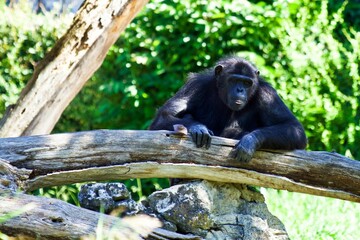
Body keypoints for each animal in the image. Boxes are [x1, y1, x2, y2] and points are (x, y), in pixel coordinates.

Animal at [149, 55, 306, 162]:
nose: (240, 89)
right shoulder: (194, 86)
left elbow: (293, 126)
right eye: (234, 80)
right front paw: (198, 128)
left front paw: (250, 140)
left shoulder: (267, 94)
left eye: (247, 83)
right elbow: (163, 116)